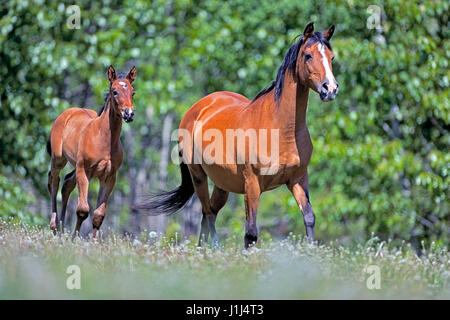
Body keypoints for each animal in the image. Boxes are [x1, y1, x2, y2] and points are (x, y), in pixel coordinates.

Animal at [47, 65, 137, 238]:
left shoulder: (109, 177)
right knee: (54, 181)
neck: (103, 140)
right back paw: (54, 226)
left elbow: (98, 215)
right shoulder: (84, 171)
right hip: (58, 159)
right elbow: (82, 210)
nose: (129, 114)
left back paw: (61, 227)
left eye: (133, 92)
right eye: (115, 91)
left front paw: (90, 241)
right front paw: (75, 238)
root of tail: (68, 112)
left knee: (67, 183)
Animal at [137, 22, 338, 249]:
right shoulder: (252, 184)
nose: (330, 89)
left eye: (331, 57)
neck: (281, 129)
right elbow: (250, 233)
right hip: (198, 176)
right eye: (308, 55)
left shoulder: (298, 179)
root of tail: (197, 108)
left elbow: (309, 218)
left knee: (209, 214)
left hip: (222, 184)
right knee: (207, 212)